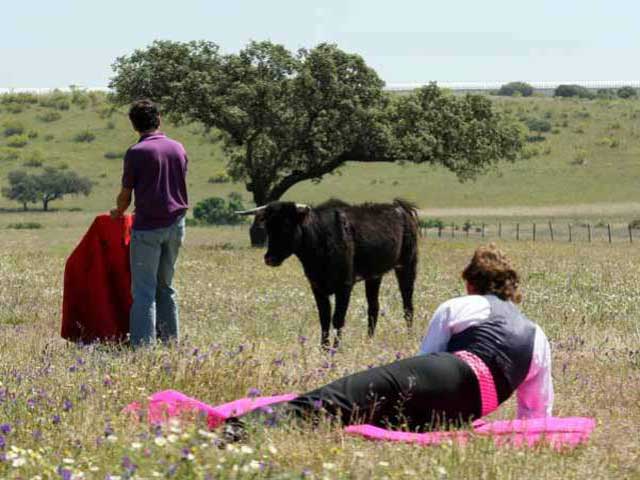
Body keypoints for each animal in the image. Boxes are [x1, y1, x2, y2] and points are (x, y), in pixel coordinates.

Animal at [240, 197, 420, 346]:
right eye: (268, 227)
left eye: (286, 225)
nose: (270, 258)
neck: (320, 239)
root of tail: (402, 208)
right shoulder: (317, 287)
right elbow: (324, 318)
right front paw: (324, 348)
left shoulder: (344, 286)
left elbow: (338, 319)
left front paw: (335, 348)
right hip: (374, 276)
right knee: (373, 307)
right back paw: (369, 340)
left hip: (407, 265)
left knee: (408, 305)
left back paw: (410, 336)